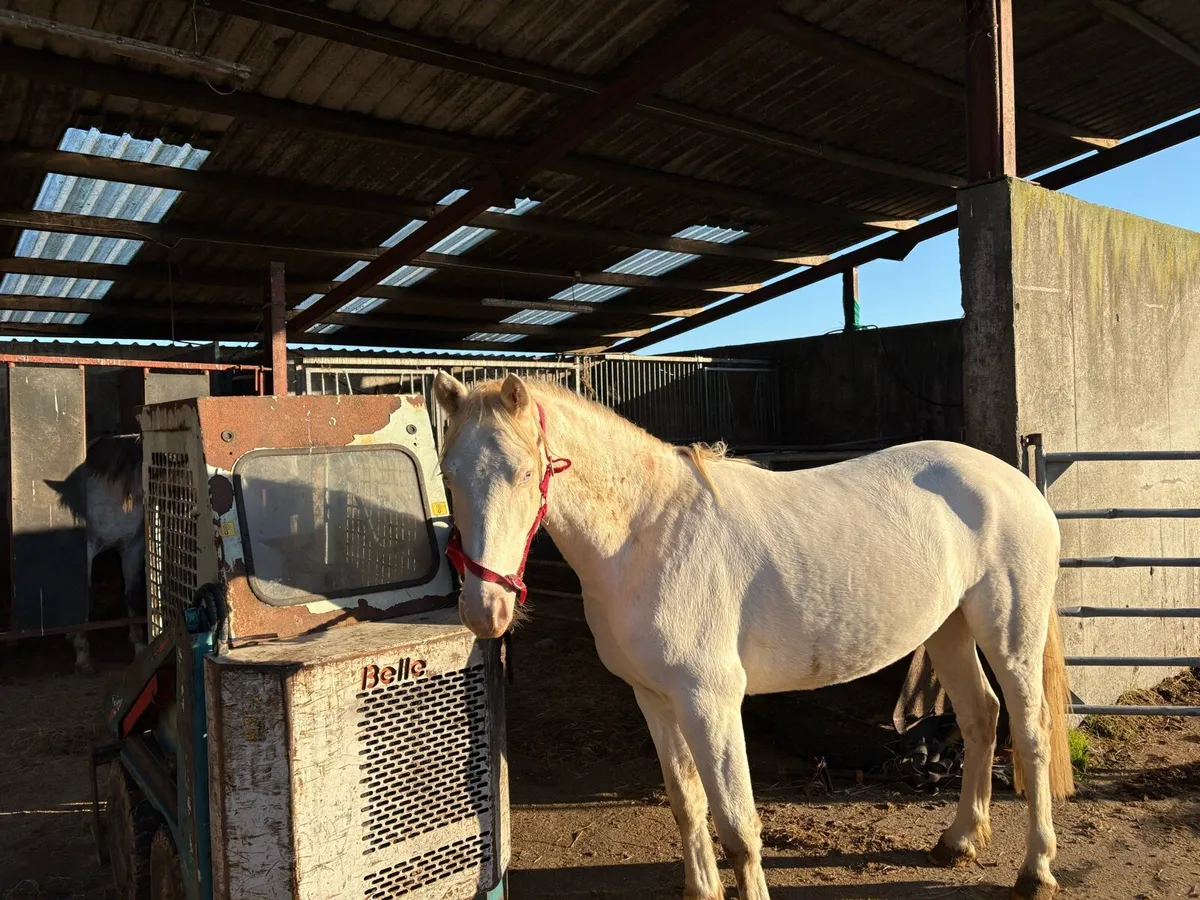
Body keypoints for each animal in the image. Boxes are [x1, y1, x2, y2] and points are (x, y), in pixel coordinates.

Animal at [46, 434, 146, 674]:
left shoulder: (132, 548)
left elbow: (133, 595)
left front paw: (139, 648)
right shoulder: (88, 550)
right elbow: (86, 596)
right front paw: (83, 656)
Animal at [433, 372, 1073, 900]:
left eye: (523, 473)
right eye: (448, 475)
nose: (484, 610)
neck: (647, 533)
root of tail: (1013, 481)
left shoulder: (711, 701)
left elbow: (738, 826)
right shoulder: (654, 698)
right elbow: (686, 803)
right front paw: (702, 891)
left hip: (1009, 633)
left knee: (1030, 731)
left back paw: (1035, 871)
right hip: (948, 628)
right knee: (980, 715)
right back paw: (958, 841)